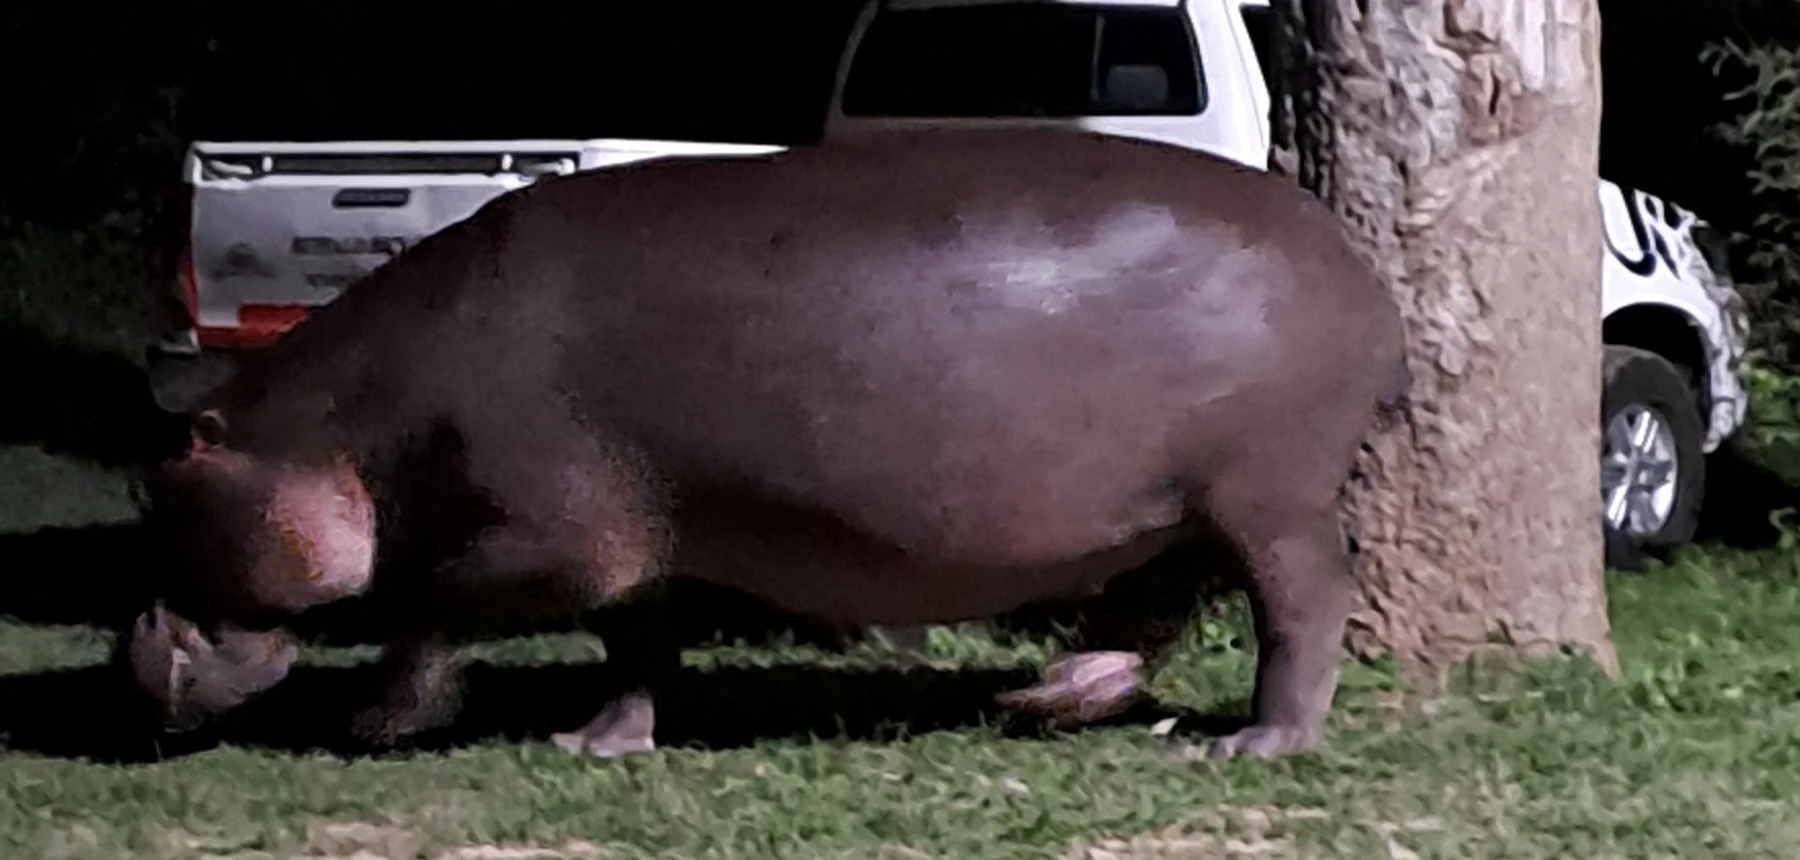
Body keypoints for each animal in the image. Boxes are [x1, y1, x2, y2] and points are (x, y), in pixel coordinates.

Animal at [123, 126, 1409, 762]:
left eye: (159, 483)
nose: (132, 645)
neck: (334, 425)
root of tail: (1349, 253)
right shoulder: (640, 545)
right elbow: (635, 648)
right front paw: (594, 742)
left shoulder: (549, 535)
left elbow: (428, 603)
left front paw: (377, 723)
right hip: (1170, 501)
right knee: (1150, 605)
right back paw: (1041, 697)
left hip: (1267, 492)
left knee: (1303, 601)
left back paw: (1253, 744)